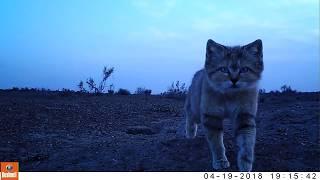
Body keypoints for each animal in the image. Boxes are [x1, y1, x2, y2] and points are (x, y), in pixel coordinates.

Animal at [185, 39, 262, 172]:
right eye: (224, 69)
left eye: (244, 69)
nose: (234, 80)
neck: (230, 96)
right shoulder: (211, 117)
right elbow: (217, 144)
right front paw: (220, 161)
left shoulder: (245, 116)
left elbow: (247, 142)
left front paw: (245, 163)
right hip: (196, 107)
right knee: (189, 113)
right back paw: (190, 132)